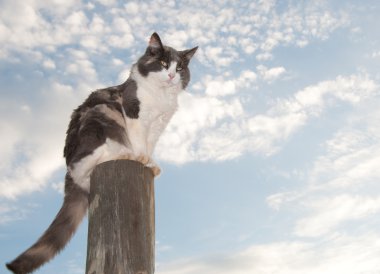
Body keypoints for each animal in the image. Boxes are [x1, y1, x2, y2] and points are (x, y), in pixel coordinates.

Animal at [5, 32, 197, 274]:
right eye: (163, 63)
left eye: (179, 68)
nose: (172, 75)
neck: (161, 97)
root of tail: (68, 172)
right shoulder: (134, 113)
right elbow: (139, 141)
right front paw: (141, 157)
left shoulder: (157, 127)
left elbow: (149, 145)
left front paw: (150, 163)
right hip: (99, 120)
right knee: (90, 162)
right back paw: (125, 154)